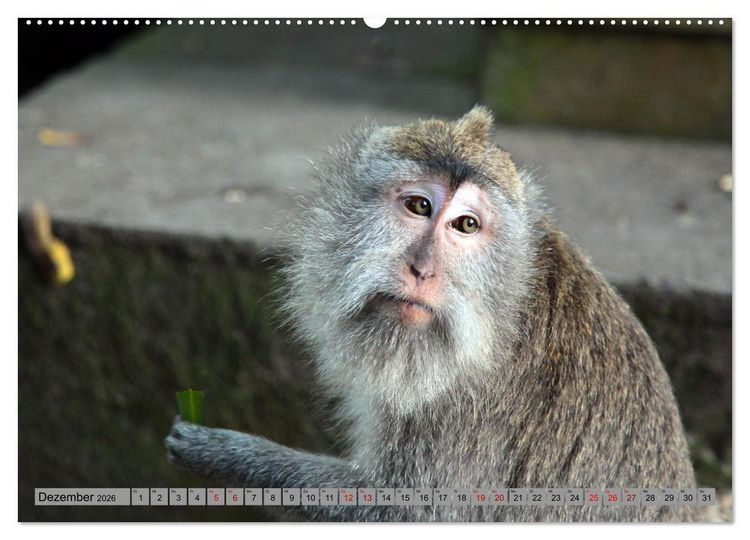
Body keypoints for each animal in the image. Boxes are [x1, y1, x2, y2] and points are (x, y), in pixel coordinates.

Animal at [165, 106, 700, 522]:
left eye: (466, 225)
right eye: (420, 205)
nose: (422, 269)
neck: (505, 313)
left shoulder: (464, 412)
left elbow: (410, 511)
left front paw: (224, 453)